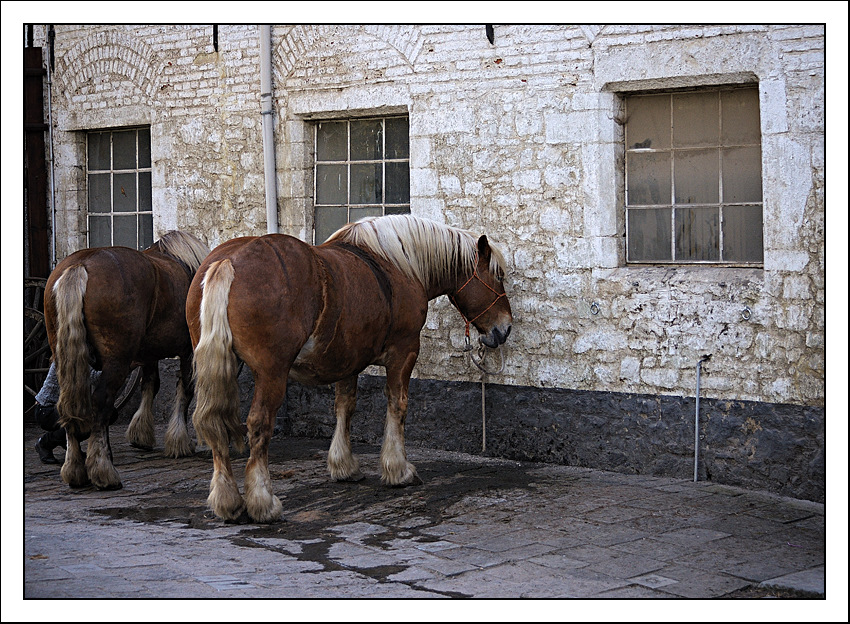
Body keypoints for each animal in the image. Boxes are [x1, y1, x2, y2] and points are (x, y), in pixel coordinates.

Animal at [44, 232, 210, 490]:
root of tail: (80, 265)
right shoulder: (188, 351)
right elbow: (185, 390)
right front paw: (179, 440)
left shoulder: (149, 354)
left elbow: (150, 385)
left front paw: (141, 434)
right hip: (117, 361)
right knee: (100, 403)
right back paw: (104, 471)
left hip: (65, 359)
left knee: (69, 405)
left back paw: (75, 469)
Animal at [189, 214, 512, 520]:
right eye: (498, 276)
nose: (504, 328)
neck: (399, 265)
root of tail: (228, 262)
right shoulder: (404, 352)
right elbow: (397, 405)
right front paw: (398, 469)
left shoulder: (347, 360)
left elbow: (345, 407)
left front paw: (343, 465)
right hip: (271, 374)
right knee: (258, 425)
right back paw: (262, 502)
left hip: (225, 367)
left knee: (216, 424)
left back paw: (227, 501)